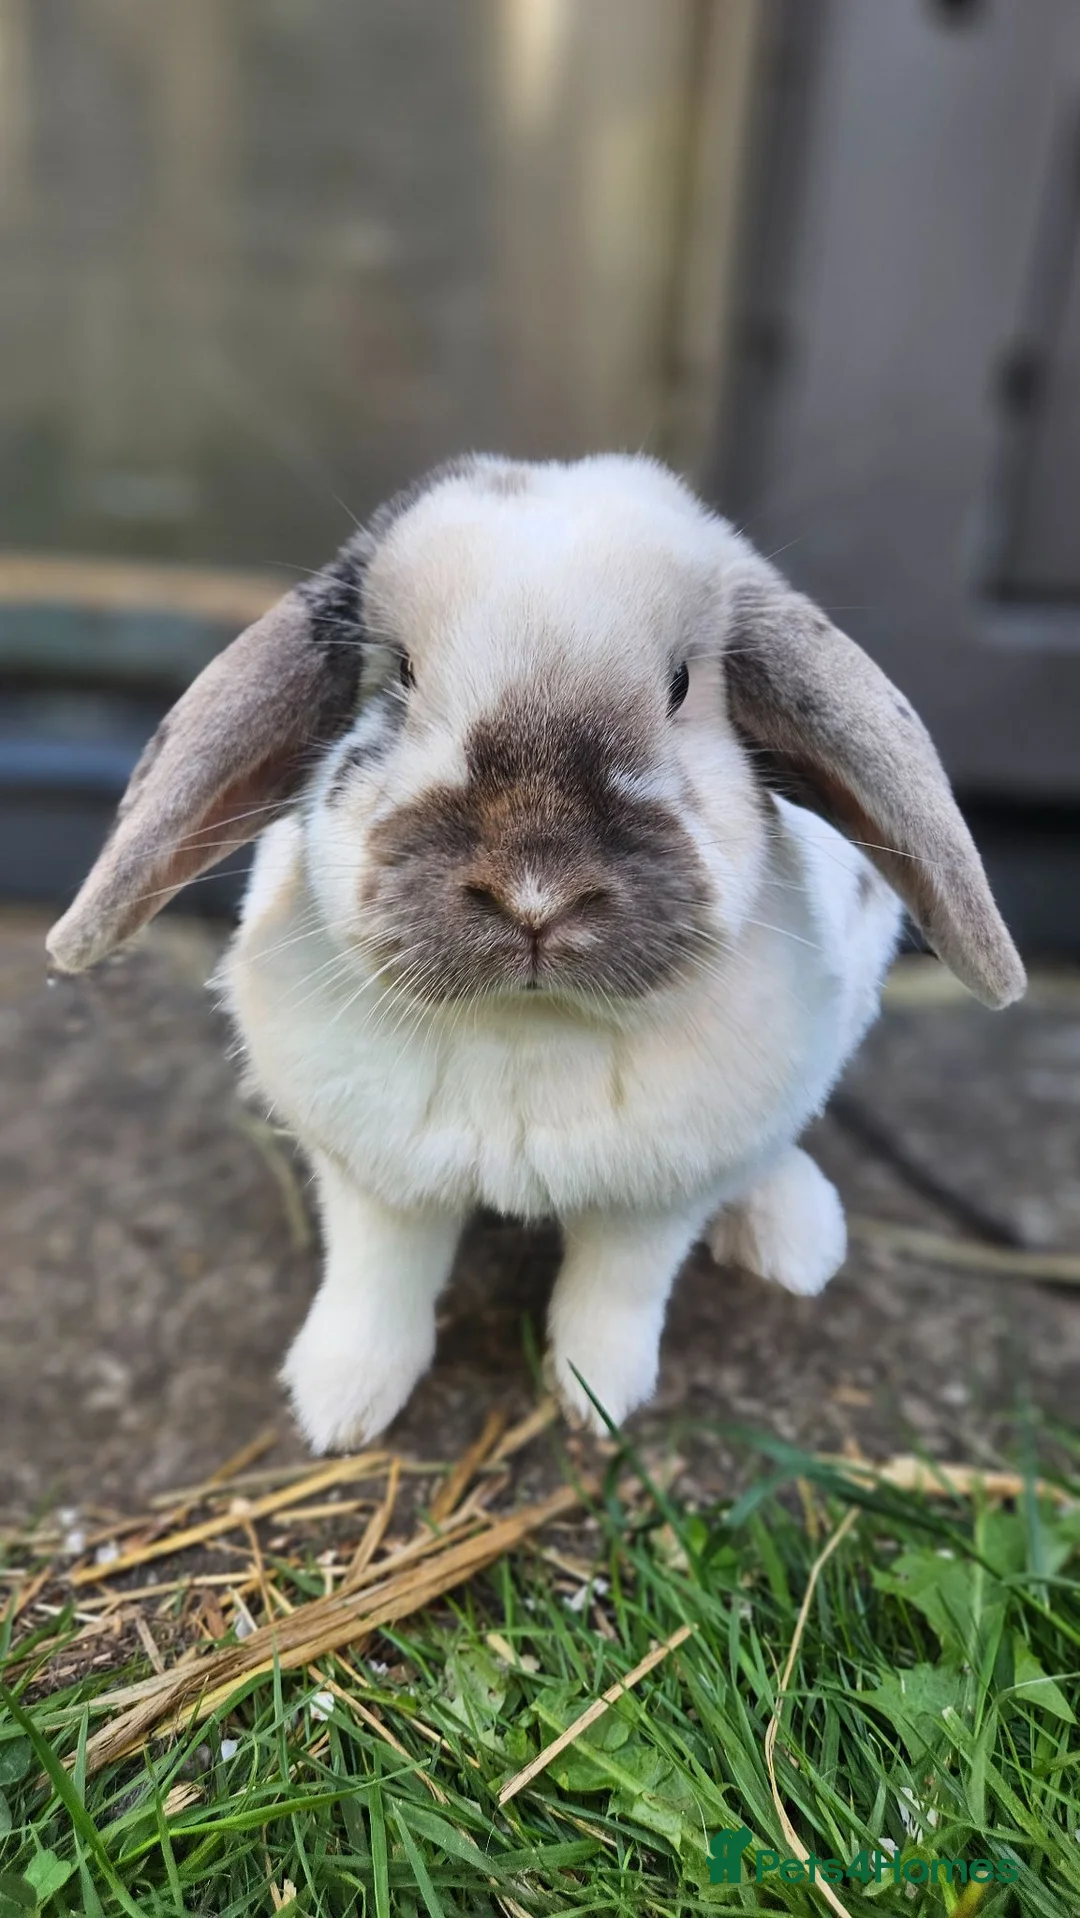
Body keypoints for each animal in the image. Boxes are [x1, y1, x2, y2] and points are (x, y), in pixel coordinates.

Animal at [47, 453, 1025, 1449]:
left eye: (681, 685)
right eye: (401, 675)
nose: (536, 895)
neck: (526, 1031)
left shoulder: (653, 1200)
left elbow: (617, 1292)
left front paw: (598, 1402)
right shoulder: (376, 1182)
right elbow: (376, 1281)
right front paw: (339, 1408)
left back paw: (794, 1239)